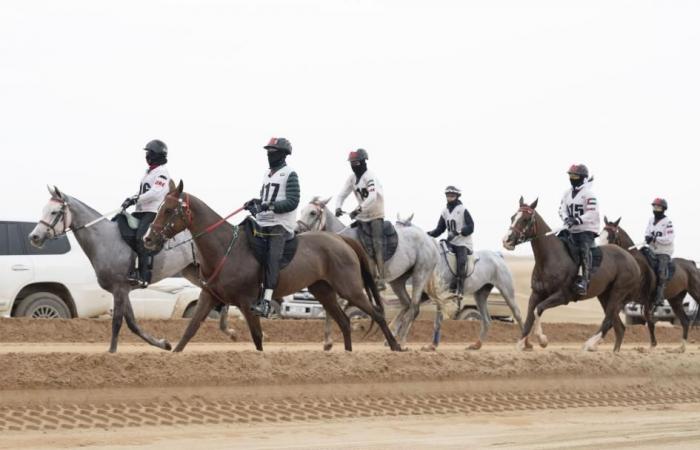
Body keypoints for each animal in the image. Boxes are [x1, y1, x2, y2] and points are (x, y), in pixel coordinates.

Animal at [27, 185, 237, 352]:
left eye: (55, 212)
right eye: (45, 209)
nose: (34, 237)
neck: (105, 240)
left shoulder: (119, 289)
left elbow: (118, 322)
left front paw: (111, 353)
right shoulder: (123, 290)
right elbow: (133, 323)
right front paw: (163, 344)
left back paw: (229, 330)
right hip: (192, 272)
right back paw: (229, 330)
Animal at [294, 197, 438, 348]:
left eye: (313, 212)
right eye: (302, 210)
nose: (296, 231)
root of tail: (430, 241)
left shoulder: (351, 287)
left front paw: (332, 338)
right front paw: (328, 341)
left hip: (420, 275)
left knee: (414, 308)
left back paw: (401, 341)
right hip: (397, 281)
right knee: (406, 304)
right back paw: (391, 335)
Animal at [396, 213, 524, 350]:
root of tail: (497, 255)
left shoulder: (441, 295)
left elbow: (435, 319)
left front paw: (429, 345)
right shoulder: (427, 295)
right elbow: (410, 310)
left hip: (507, 291)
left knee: (517, 314)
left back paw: (526, 343)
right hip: (480, 295)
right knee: (486, 320)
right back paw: (476, 345)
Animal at [500, 199, 644, 354]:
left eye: (526, 219)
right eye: (512, 217)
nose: (507, 240)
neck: (550, 258)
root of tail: (632, 261)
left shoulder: (563, 296)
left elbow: (539, 309)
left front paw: (542, 340)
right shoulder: (536, 294)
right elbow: (529, 317)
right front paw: (521, 344)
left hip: (617, 293)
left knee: (608, 320)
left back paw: (590, 345)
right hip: (605, 295)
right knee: (618, 327)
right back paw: (612, 351)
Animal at [600, 215, 700, 352]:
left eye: (611, 236)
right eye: (601, 234)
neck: (636, 265)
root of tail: (691, 263)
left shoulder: (644, 299)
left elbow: (649, 321)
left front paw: (653, 345)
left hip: (695, 292)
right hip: (675, 300)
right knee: (685, 321)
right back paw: (681, 347)